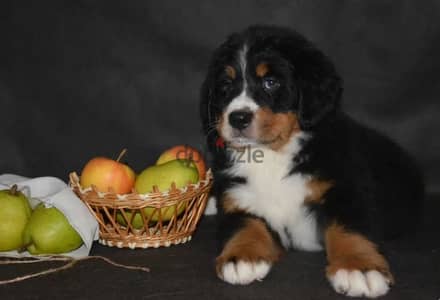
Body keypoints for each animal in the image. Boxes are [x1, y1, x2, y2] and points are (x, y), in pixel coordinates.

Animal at [199, 25, 422, 298]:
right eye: (225, 85)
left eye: (270, 82)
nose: (238, 118)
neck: (272, 156)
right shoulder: (237, 197)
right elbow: (244, 225)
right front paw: (241, 257)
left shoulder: (346, 190)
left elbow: (350, 228)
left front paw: (358, 268)